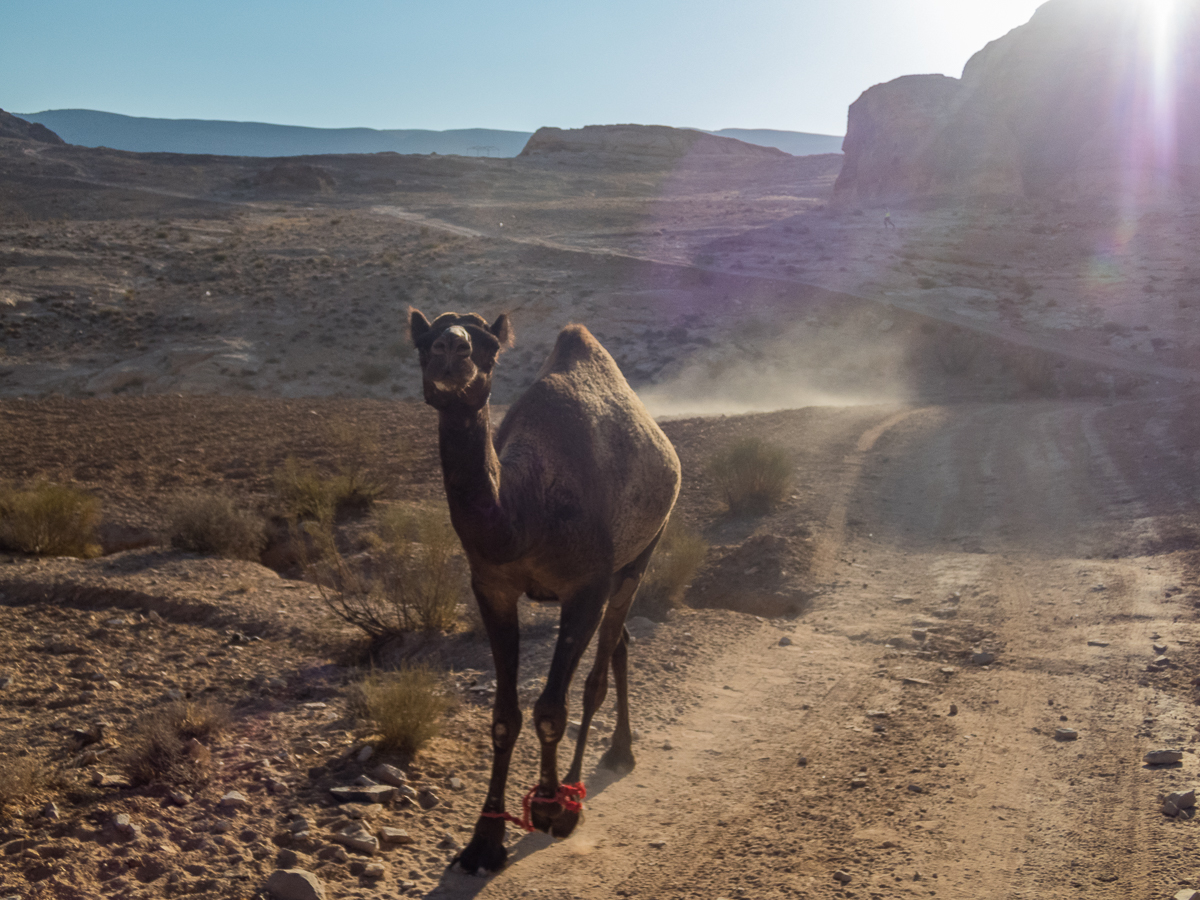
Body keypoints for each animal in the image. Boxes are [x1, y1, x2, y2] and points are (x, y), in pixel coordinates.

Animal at [408, 309, 681, 873]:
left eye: (488, 346)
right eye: (422, 341)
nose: (452, 349)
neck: (526, 510)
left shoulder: (586, 586)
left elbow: (553, 709)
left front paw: (553, 807)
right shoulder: (491, 587)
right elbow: (503, 717)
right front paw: (484, 840)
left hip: (642, 553)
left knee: (600, 671)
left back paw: (588, 781)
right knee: (621, 644)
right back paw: (617, 751)